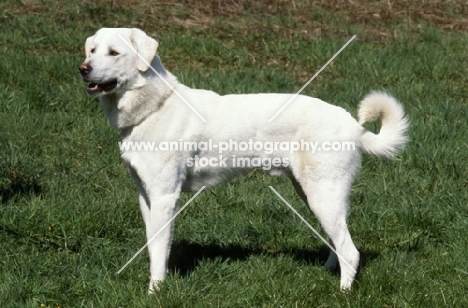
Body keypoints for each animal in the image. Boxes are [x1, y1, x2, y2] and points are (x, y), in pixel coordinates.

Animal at [79, 27, 406, 292]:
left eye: (114, 52)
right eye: (92, 50)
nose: (83, 68)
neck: (155, 106)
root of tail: (353, 125)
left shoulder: (163, 197)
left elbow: (159, 252)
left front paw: (155, 293)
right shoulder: (145, 196)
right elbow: (152, 248)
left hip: (322, 195)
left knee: (350, 251)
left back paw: (342, 293)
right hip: (313, 194)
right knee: (338, 242)